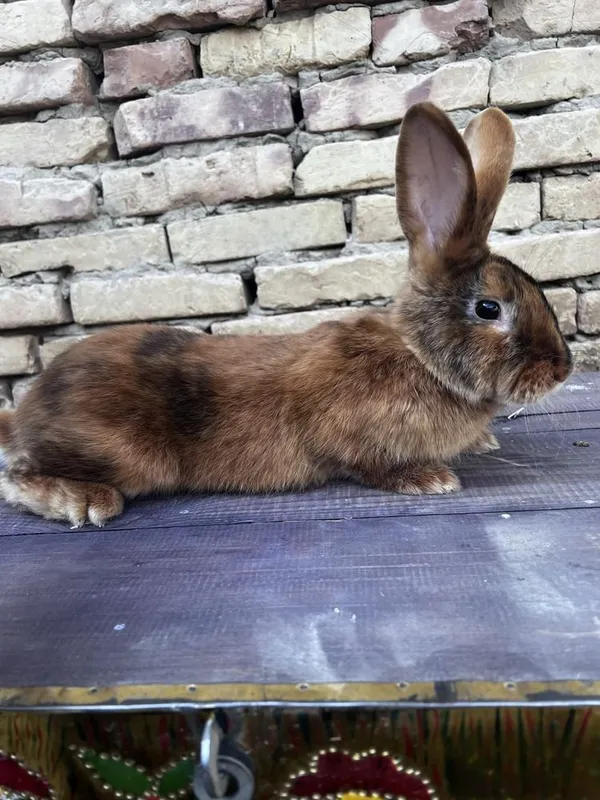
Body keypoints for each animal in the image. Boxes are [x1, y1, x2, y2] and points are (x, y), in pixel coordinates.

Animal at [0, 102, 572, 528]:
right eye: (489, 307)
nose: (562, 369)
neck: (420, 357)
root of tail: (26, 413)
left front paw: (482, 442)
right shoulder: (353, 441)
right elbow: (371, 467)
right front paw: (432, 479)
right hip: (121, 454)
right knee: (16, 477)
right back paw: (85, 501)